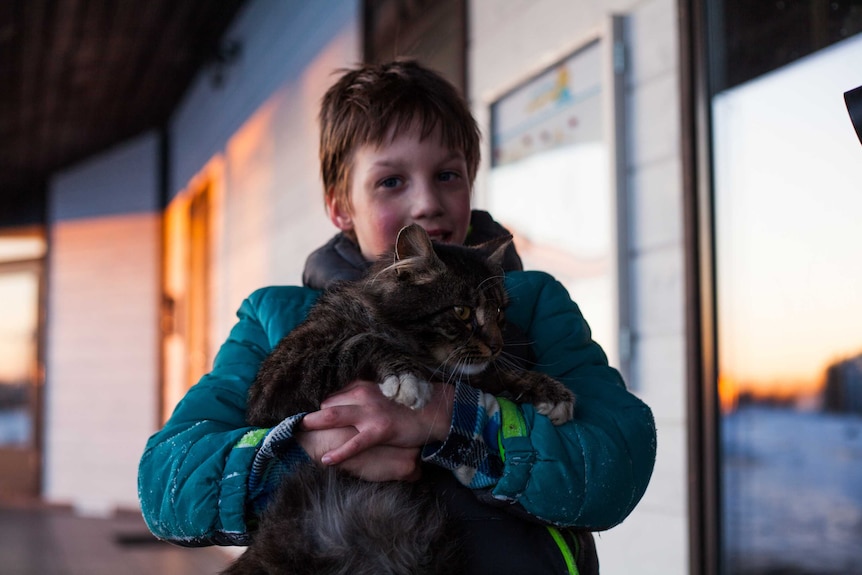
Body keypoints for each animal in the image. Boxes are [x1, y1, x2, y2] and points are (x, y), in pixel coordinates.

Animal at [223, 225, 576, 575]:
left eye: (499, 312)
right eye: (462, 312)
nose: (497, 346)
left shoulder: (464, 373)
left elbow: (499, 376)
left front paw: (550, 391)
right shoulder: (275, 386)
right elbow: (364, 340)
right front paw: (406, 377)